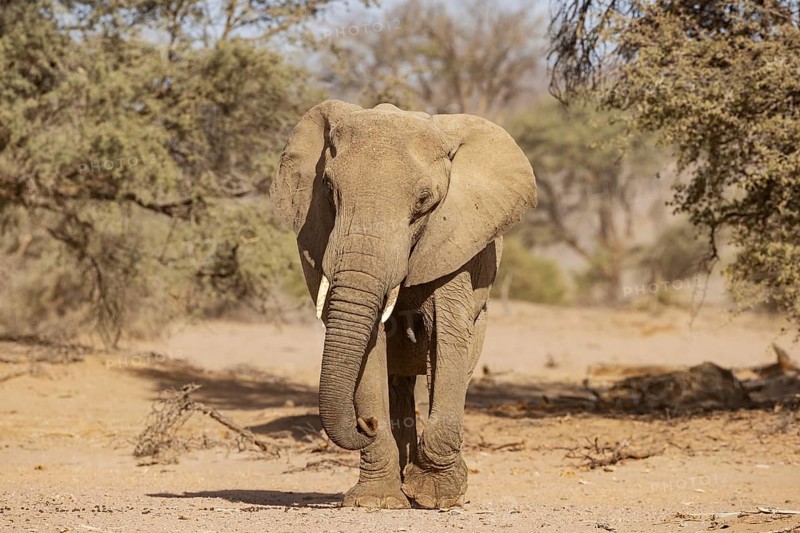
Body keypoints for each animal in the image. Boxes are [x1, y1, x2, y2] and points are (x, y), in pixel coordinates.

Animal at [270, 100, 537, 509]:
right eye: (328, 188)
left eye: (425, 201)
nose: (365, 423)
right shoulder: (315, 235)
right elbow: (369, 346)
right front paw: (375, 501)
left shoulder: (455, 240)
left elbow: (448, 337)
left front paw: (436, 496)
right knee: (398, 384)